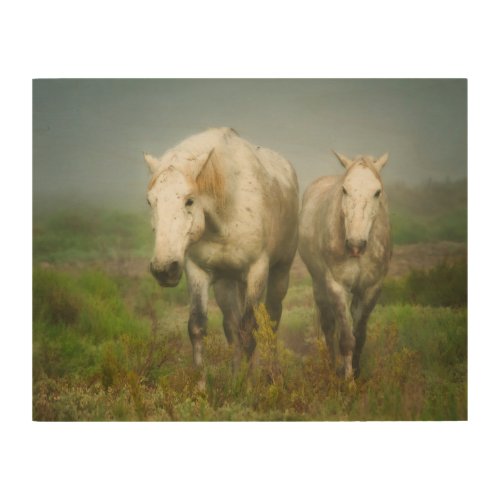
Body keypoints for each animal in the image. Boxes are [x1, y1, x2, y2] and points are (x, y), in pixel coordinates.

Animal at [145, 128, 300, 372]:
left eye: (189, 201)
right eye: (150, 202)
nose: (163, 269)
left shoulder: (257, 271)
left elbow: (250, 331)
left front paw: (246, 383)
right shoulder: (197, 272)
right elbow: (198, 328)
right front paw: (207, 383)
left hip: (280, 273)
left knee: (272, 321)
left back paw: (271, 374)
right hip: (226, 284)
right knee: (231, 326)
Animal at [298, 152, 392, 378]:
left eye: (377, 192)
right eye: (345, 189)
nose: (355, 245)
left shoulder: (371, 288)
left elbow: (359, 336)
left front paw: (356, 373)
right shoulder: (336, 286)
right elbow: (347, 339)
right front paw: (348, 380)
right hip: (319, 285)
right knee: (329, 326)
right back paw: (333, 367)